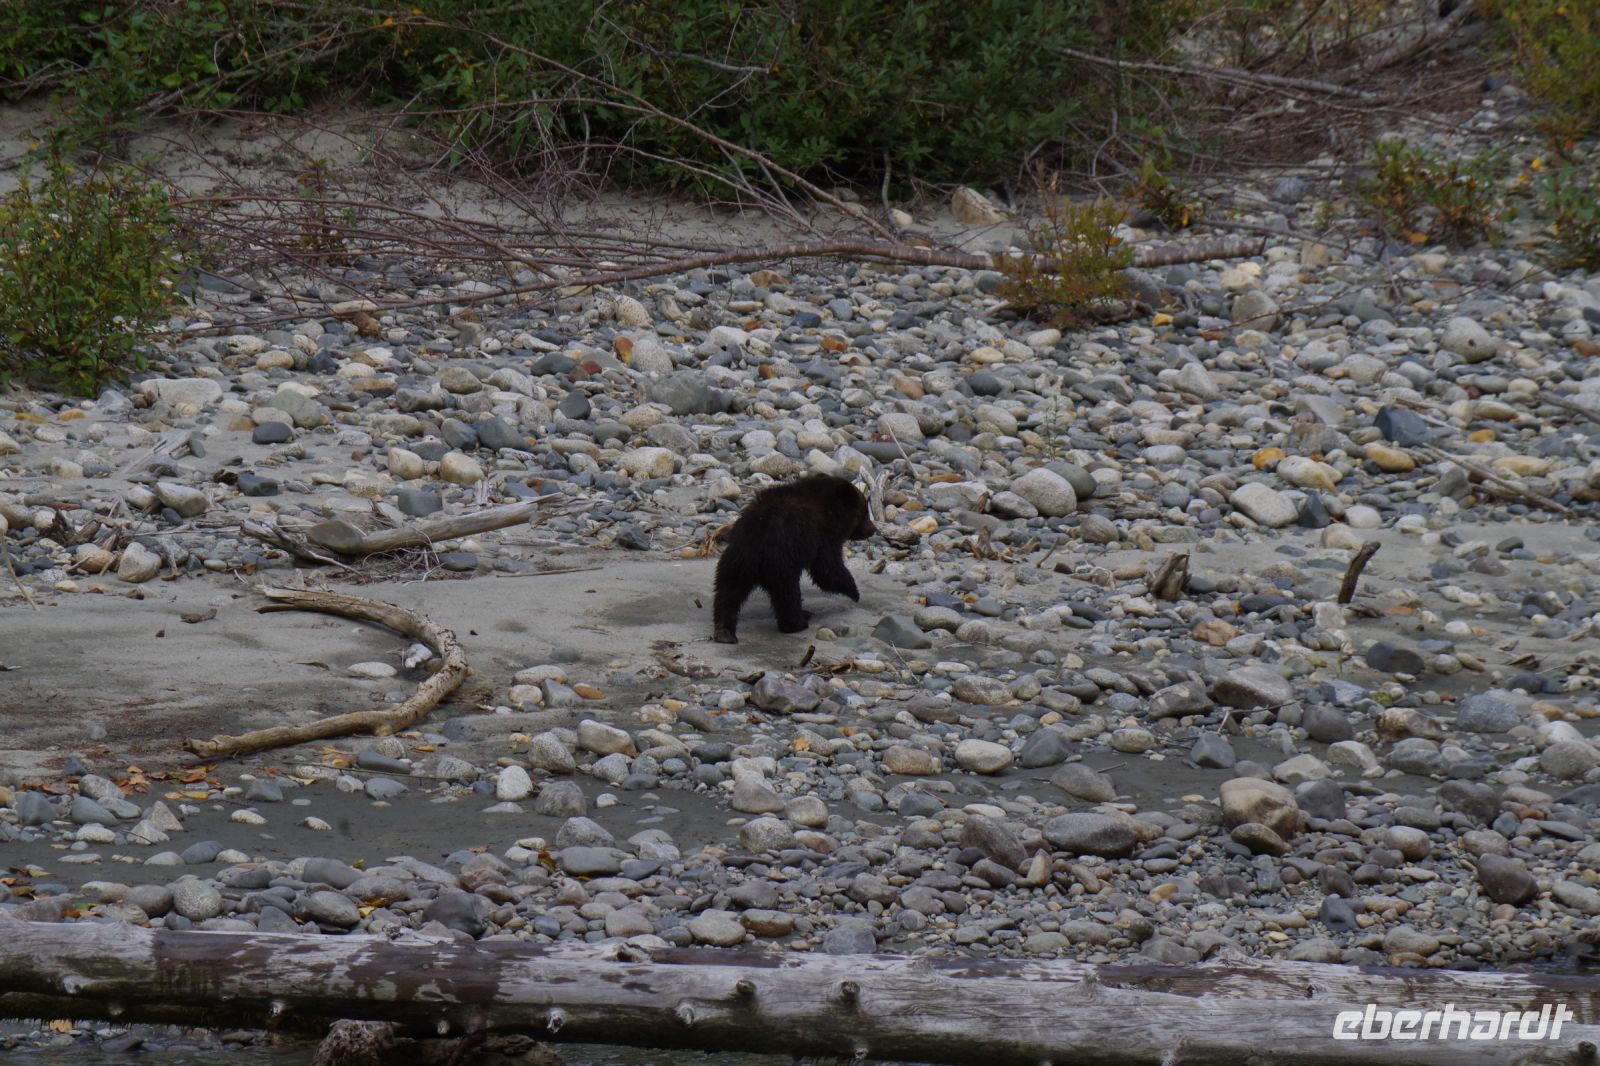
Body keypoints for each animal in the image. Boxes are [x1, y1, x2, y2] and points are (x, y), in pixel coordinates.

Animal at [712, 474, 876, 644]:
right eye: (864, 513)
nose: (873, 529)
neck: (830, 511)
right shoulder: (820, 535)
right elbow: (826, 569)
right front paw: (854, 591)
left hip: (735, 562)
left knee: (727, 592)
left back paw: (724, 631)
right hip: (781, 562)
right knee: (788, 594)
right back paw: (798, 622)